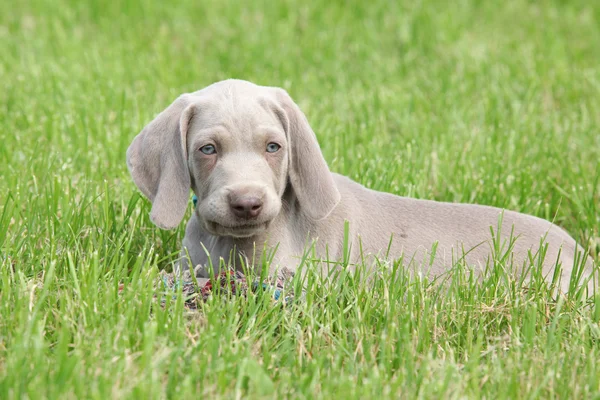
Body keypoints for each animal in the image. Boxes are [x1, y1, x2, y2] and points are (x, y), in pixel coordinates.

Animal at [127, 79, 596, 294]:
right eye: (207, 149)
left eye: (274, 147)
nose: (247, 203)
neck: (229, 243)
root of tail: (582, 254)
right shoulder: (192, 266)